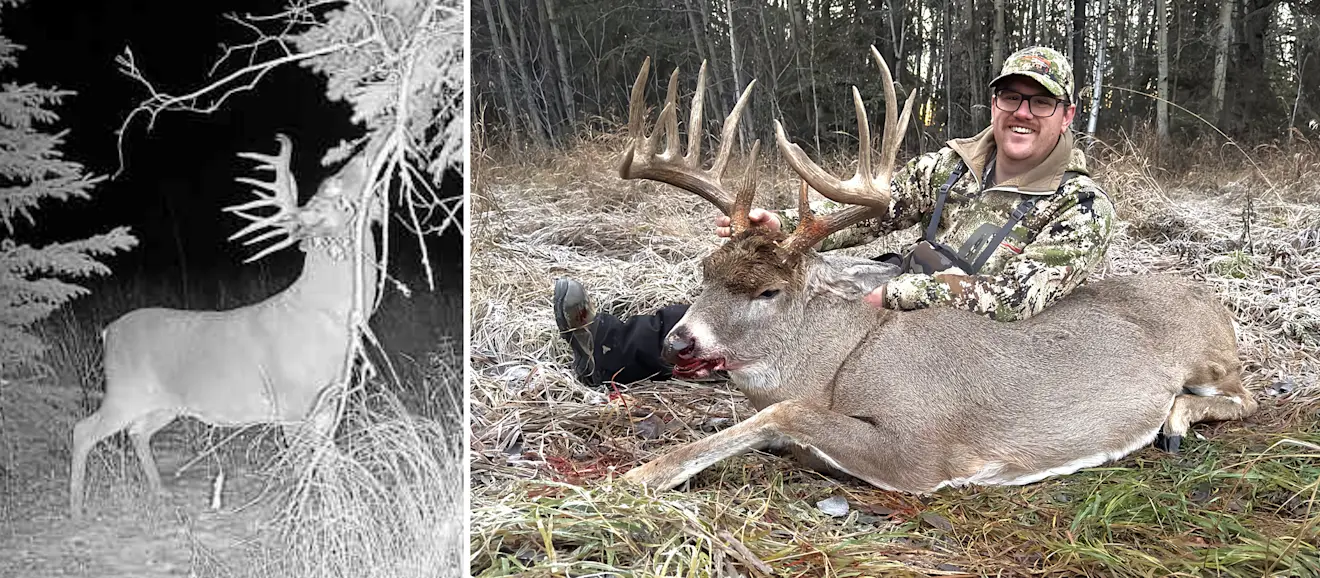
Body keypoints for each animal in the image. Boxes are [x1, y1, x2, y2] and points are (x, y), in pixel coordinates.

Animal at [70, 135, 380, 519]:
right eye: (335, 192)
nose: (366, 151)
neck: (324, 317)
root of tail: (107, 331)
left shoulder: (328, 403)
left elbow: (328, 460)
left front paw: (340, 508)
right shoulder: (290, 402)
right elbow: (299, 462)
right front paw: (301, 513)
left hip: (164, 402)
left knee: (137, 432)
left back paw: (161, 491)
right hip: (124, 390)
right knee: (83, 430)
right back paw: (76, 509)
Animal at [617, 49, 1256, 490]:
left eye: (768, 291)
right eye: (705, 269)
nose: (678, 341)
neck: (841, 362)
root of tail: (1215, 302)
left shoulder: (920, 447)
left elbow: (786, 411)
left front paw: (638, 476)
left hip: (1209, 359)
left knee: (1244, 395)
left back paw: (1176, 419)